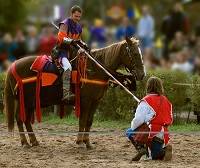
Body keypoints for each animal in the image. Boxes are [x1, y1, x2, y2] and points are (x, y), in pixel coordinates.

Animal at [3, 37, 145, 148]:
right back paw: (25, 142)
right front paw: (80, 142)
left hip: (29, 101)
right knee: (20, 118)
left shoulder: (95, 101)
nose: (142, 74)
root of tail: (13, 66)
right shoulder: (86, 101)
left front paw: (87, 142)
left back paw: (33, 141)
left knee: (24, 119)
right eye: (135, 53)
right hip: (27, 100)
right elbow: (82, 120)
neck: (94, 69)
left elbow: (89, 121)